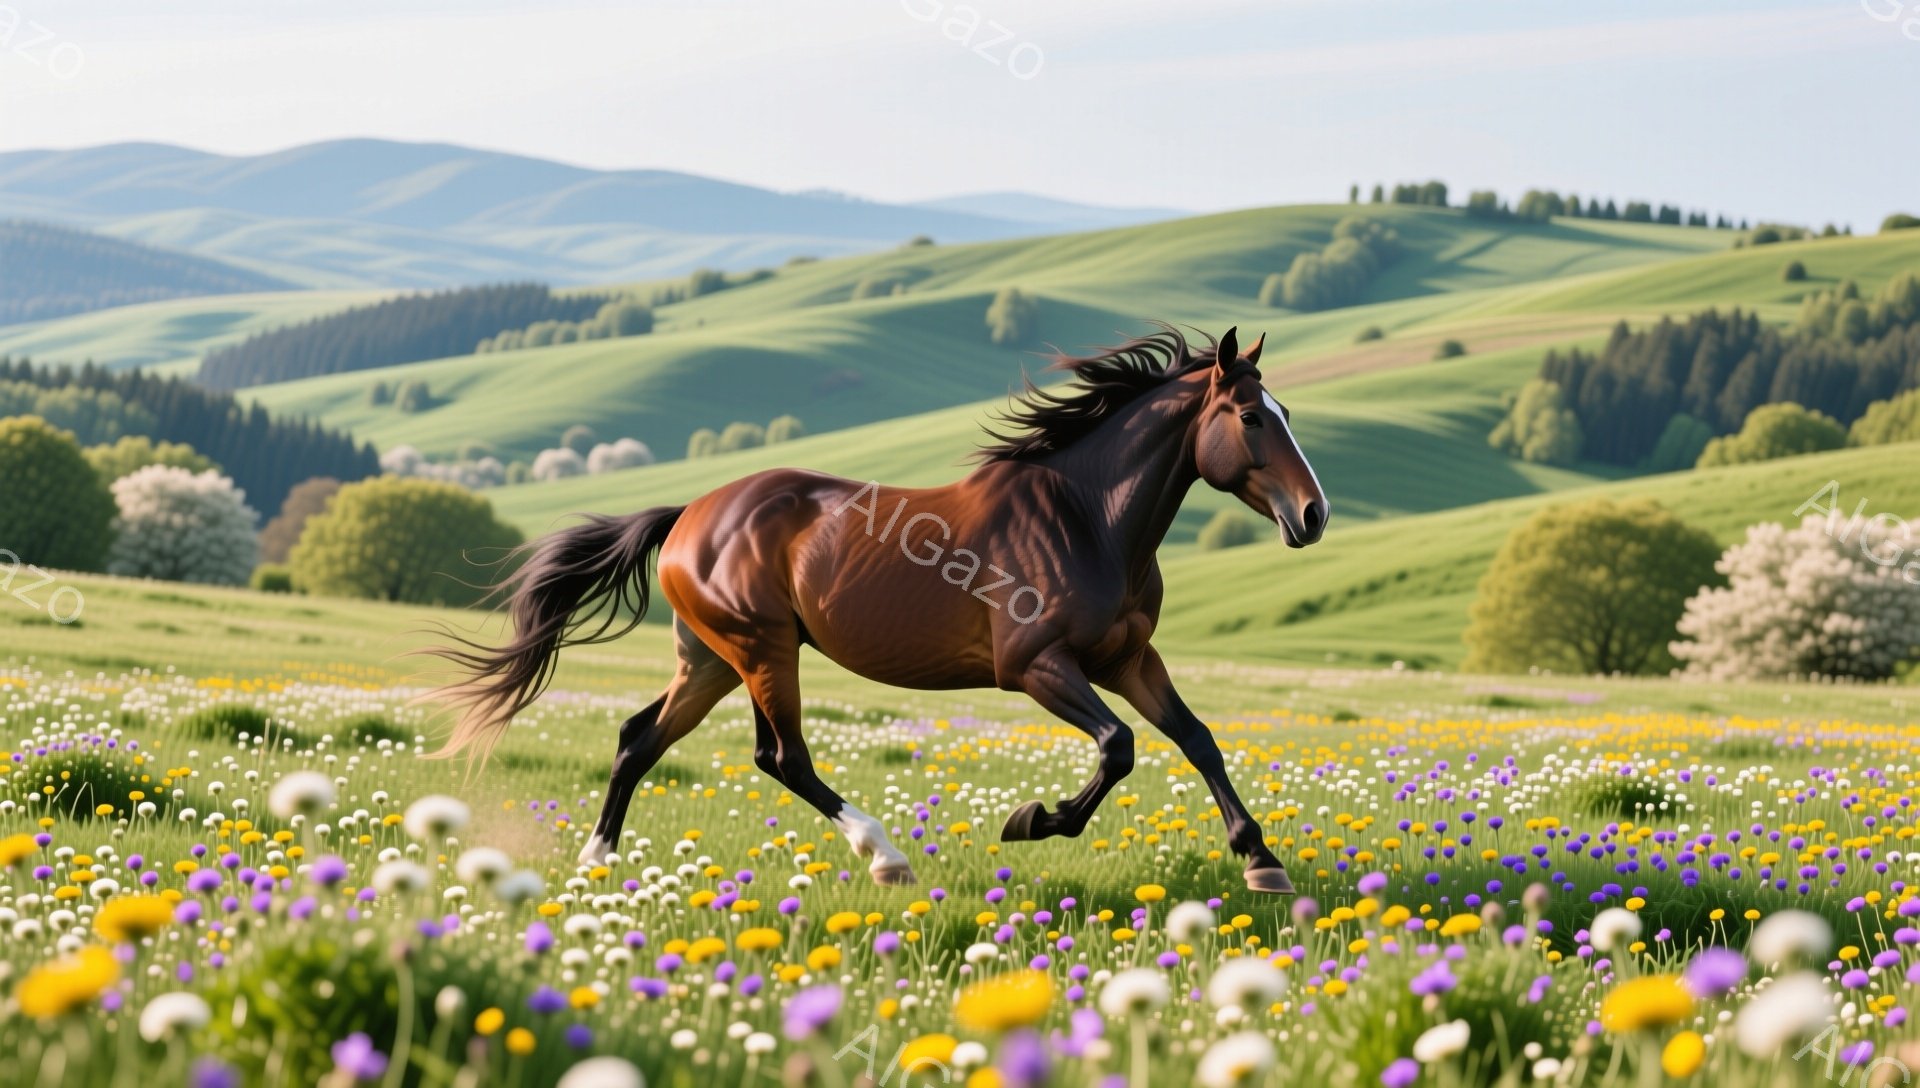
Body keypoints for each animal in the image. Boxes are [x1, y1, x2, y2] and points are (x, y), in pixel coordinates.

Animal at [430, 325, 1329, 894]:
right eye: (1252, 416)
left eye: (1286, 413)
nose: (1313, 515)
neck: (1087, 520)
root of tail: (688, 515)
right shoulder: (1036, 667)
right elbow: (1119, 748)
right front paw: (1031, 820)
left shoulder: (1130, 659)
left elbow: (1197, 739)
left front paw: (1262, 862)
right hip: (763, 650)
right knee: (782, 757)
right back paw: (886, 857)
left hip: (712, 659)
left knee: (638, 739)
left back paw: (597, 862)